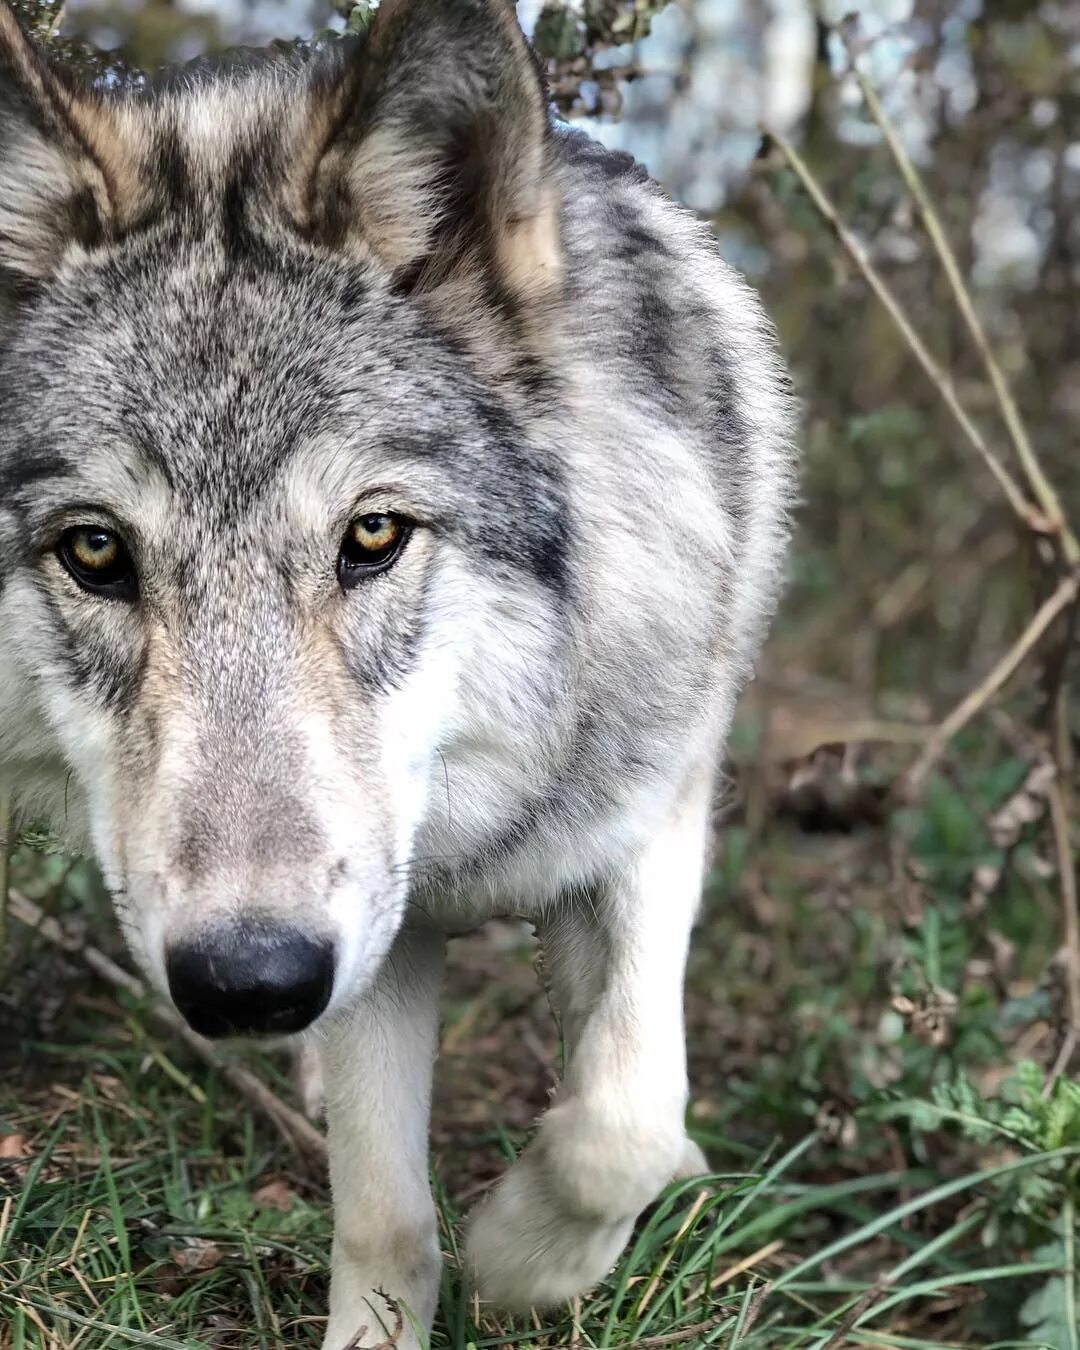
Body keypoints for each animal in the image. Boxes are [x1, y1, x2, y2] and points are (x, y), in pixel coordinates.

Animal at [0, 0, 793, 1344]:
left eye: (371, 535)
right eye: (95, 551)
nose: (249, 983)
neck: (473, 837)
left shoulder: (649, 820)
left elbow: (623, 1117)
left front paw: (523, 1258)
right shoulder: (380, 930)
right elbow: (385, 1213)